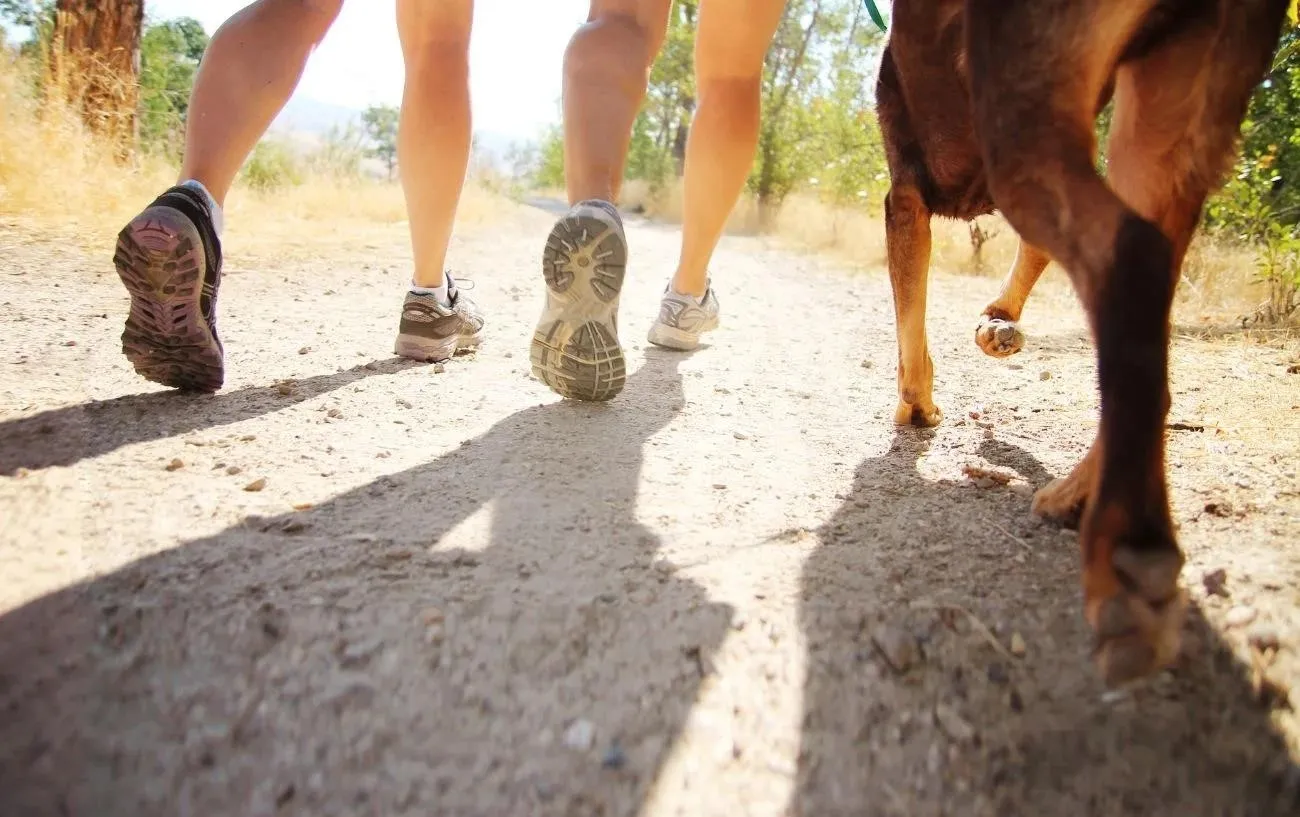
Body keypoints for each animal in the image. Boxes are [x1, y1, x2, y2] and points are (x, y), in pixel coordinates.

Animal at [873, 0, 1289, 686]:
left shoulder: (904, 196)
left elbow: (913, 326)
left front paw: (915, 405)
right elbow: (1029, 255)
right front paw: (996, 325)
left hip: (1027, 115)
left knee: (1131, 256)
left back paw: (1129, 549)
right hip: (1163, 120)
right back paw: (1076, 497)